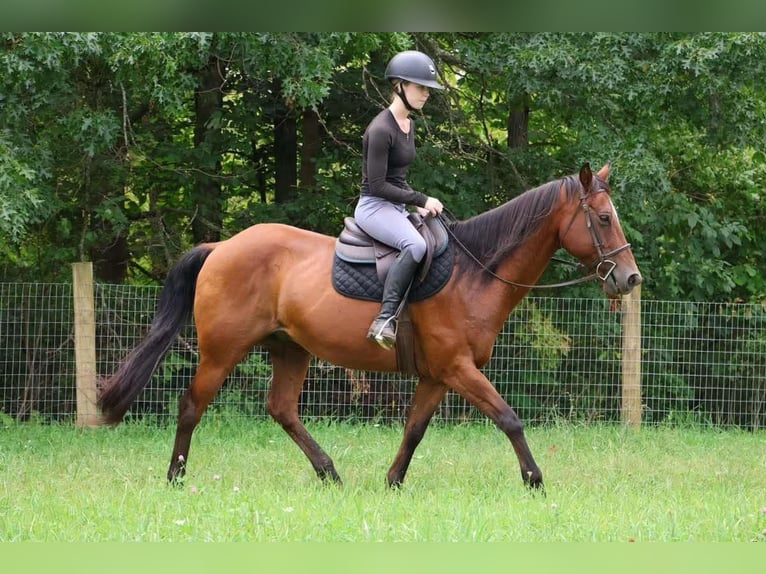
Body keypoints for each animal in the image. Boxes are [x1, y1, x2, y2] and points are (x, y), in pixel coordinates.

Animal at [99, 162, 644, 490]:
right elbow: (509, 418)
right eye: (602, 218)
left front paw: (392, 482)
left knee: (281, 409)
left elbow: (414, 429)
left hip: (289, 348)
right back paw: (175, 477)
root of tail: (222, 247)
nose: (630, 278)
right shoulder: (459, 369)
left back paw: (329, 473)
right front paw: (534, 480)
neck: (473, 272)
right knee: (191, 405)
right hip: (221, 350)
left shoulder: (438, 375)